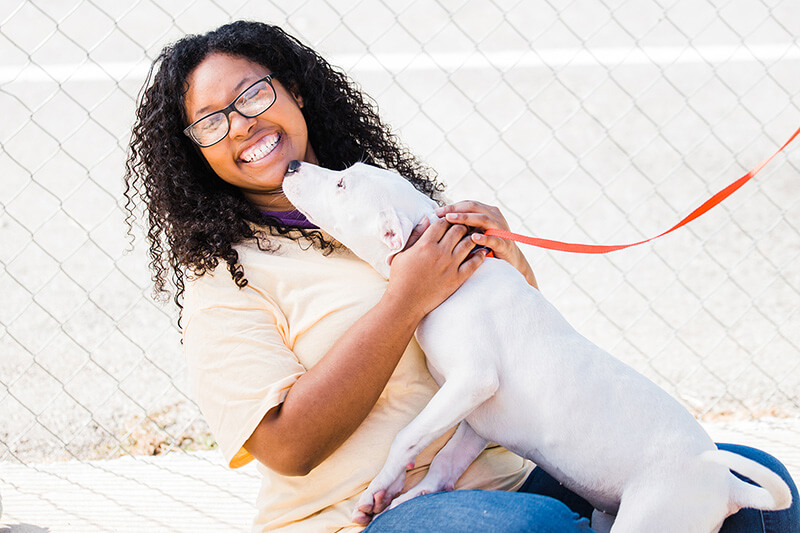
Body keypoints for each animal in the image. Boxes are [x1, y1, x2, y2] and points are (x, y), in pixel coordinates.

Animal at [282, 162, 792, 532]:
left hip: (651, 519)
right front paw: (409, 494)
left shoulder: (473, 380)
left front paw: (382, 486)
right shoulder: (477, 414)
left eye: (342, 183)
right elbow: (446, 460)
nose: (290, 164)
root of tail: (727, 487)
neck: (456, 282)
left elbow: (407, 435)